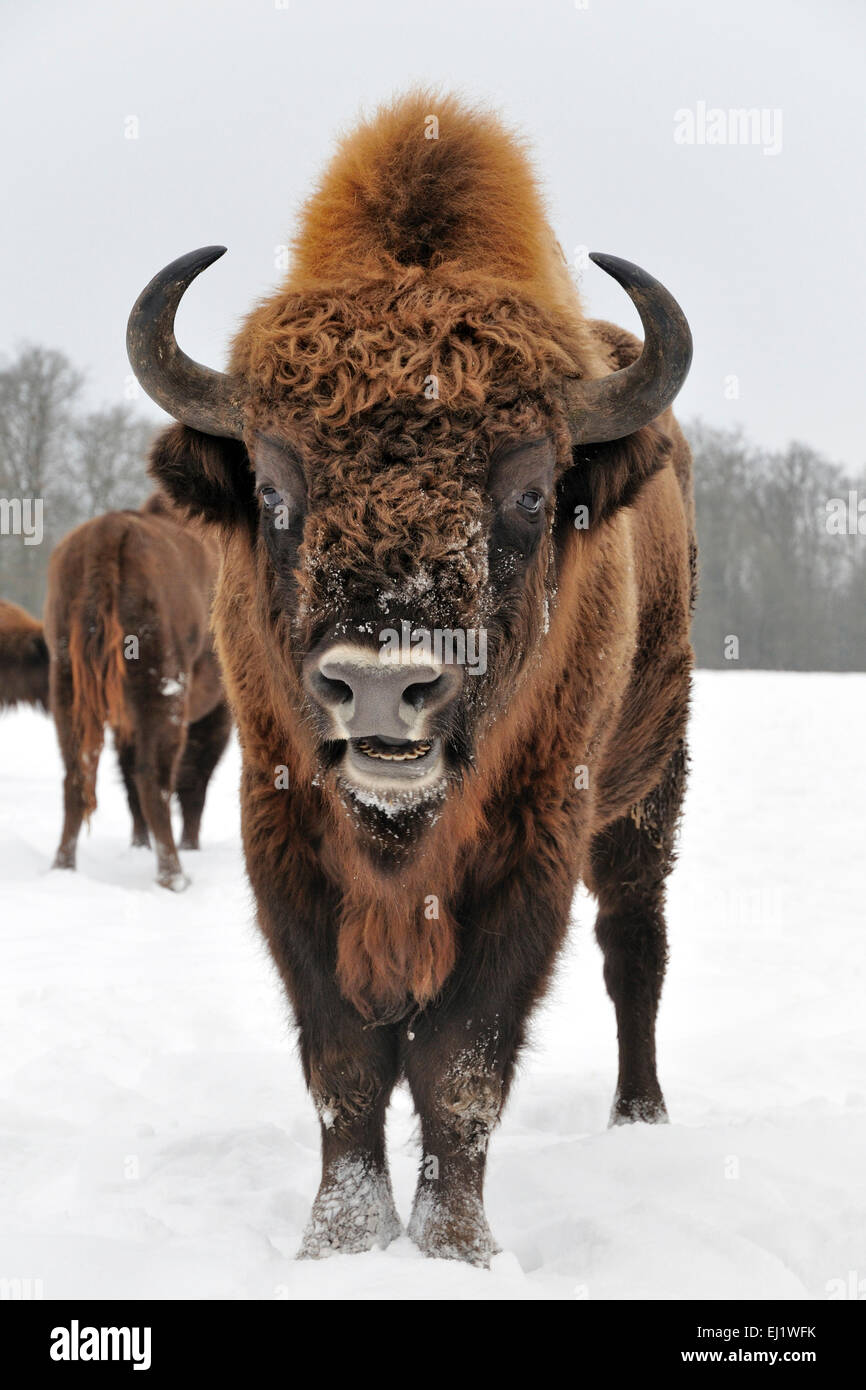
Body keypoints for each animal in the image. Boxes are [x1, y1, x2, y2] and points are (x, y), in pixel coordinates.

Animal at [43, 494, 233, 884]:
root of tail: (109, 531)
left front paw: (139, 844)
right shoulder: (216, 714)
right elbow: (194, 782)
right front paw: (190, 845)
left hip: (67, 687)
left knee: (77, 775)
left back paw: (63, 866)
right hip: (162, 691)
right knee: (153, 778)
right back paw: (175, 877)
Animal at [128, 86, 695, 1262]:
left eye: (529, 492)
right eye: (274, 489)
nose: (385, 685)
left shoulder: (531, 842)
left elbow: (459, 1063)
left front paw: (455, 1248)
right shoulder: (283, 829)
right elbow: (345, 1060)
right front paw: (340, 1243)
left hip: (648, 786)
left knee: (634, 945)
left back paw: (639, 1119)